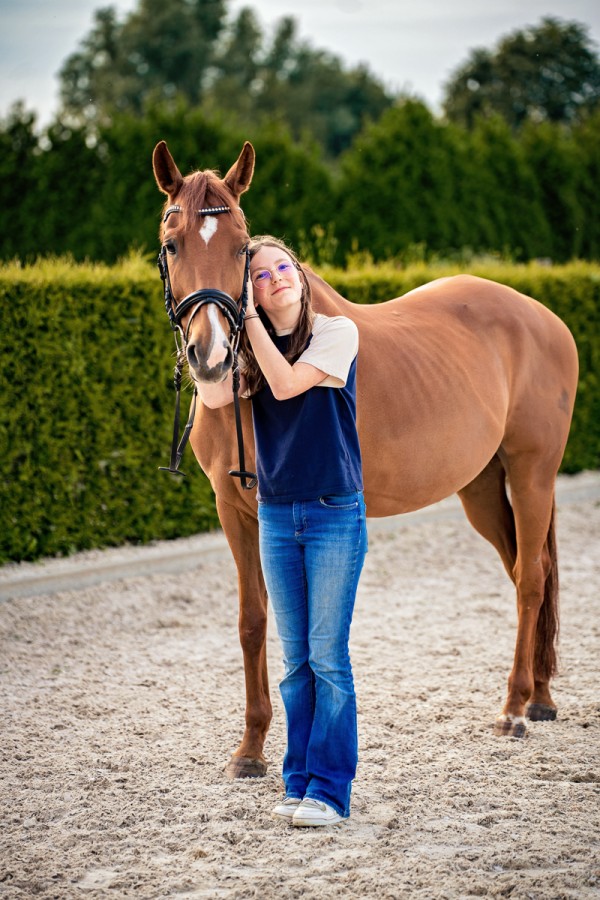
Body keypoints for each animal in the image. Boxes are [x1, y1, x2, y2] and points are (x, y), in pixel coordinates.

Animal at [154, 142, 576, 780]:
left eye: (241, 248)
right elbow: (255, 620)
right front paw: (251, 749)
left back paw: (514, 708)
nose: (210, 356)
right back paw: (541, 697)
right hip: (482, 489)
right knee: (533, 573)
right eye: (173, 243)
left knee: (531, 578)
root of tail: (544, 317)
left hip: (533, 474)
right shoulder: (238, 511)